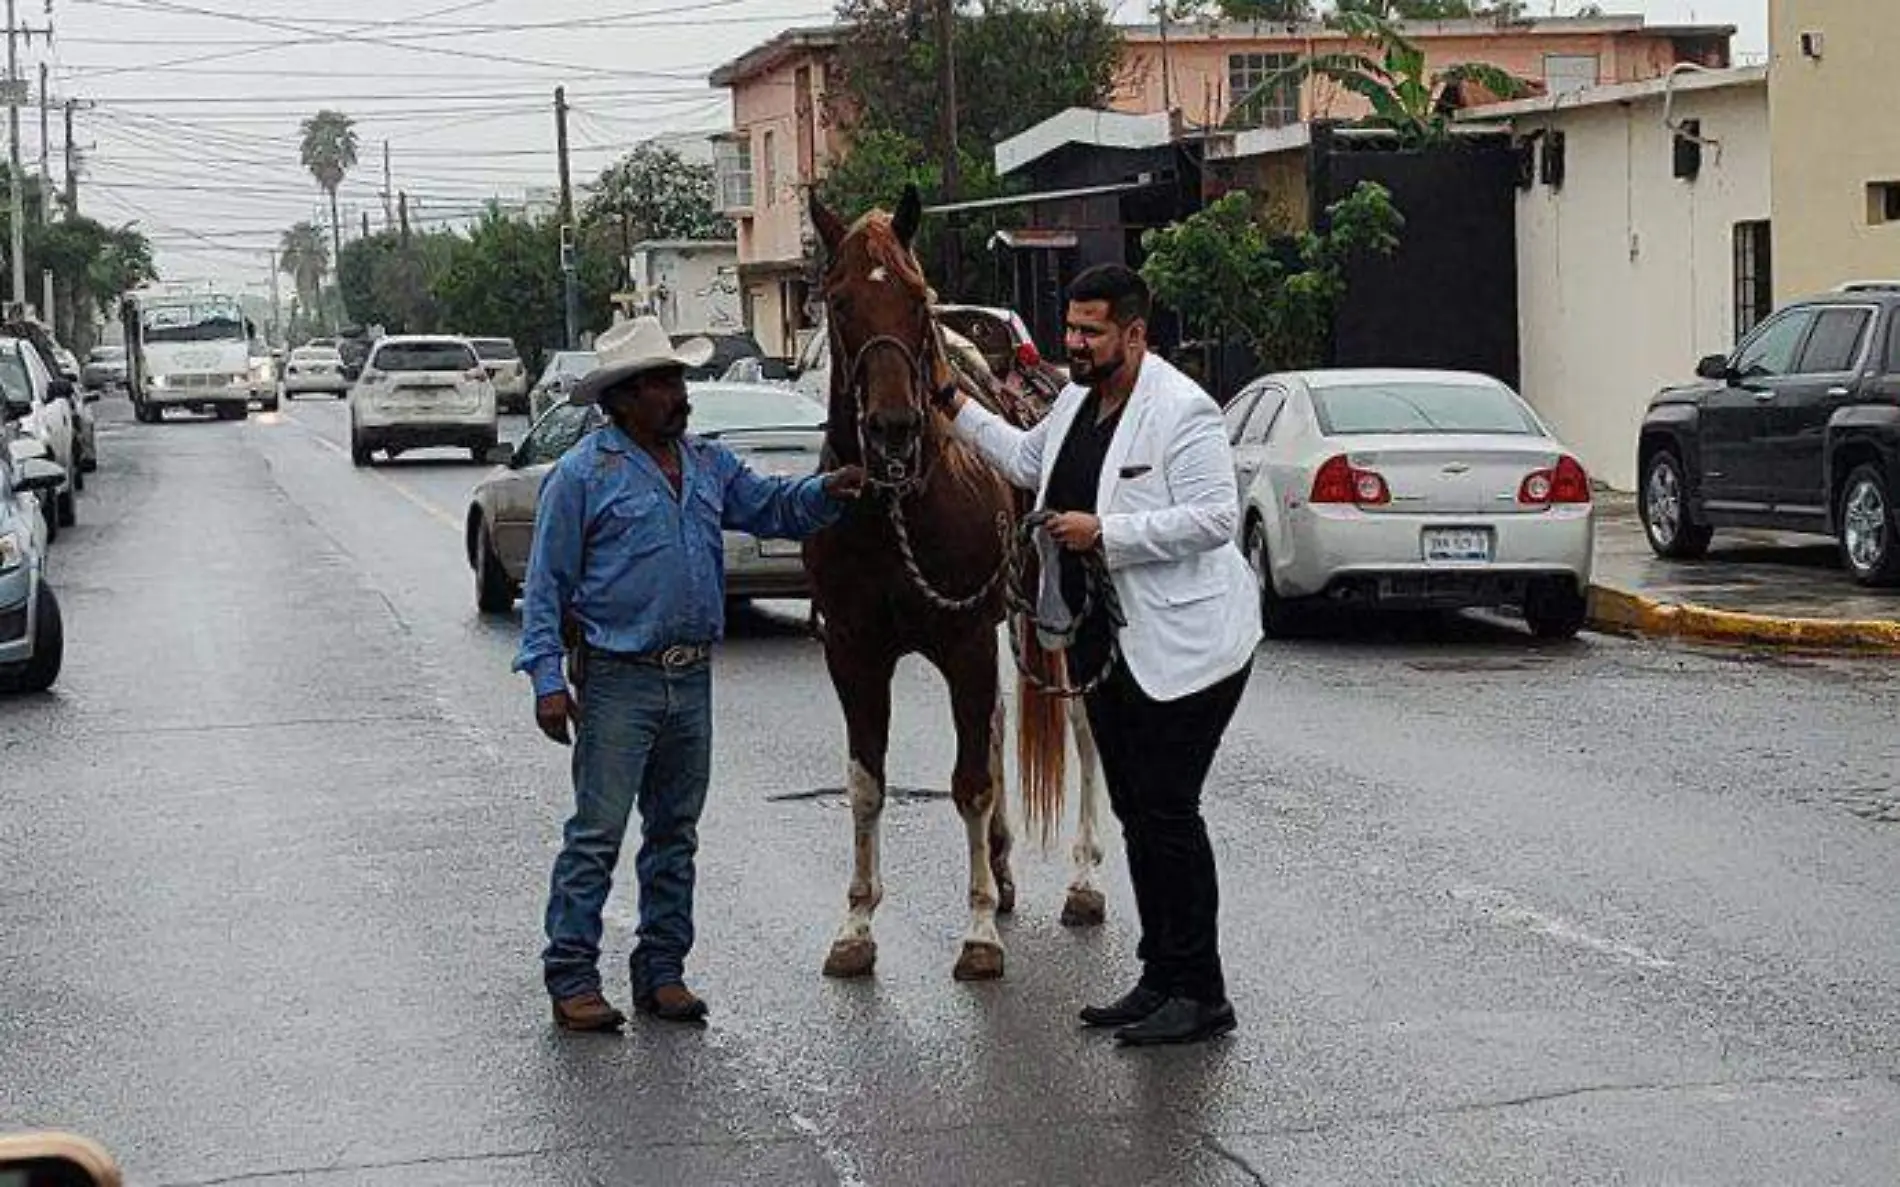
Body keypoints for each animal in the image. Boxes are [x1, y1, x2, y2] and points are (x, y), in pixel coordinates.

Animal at [798, 187, 1102, 979]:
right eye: (838, 301)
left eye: (917, 298)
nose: (893, 428)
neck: (894, 506)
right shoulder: (853, 652)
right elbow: (866, 785)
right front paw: (856, 923)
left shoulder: (962, 640)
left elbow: (970, 783)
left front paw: (978, 933)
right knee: (994, 724)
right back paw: (1001, 866)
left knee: (1084, 731)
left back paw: (1084, 879)